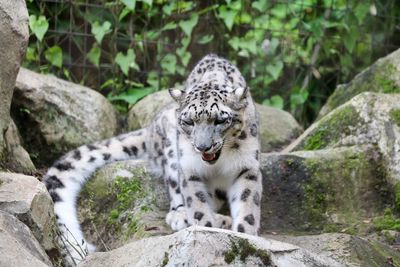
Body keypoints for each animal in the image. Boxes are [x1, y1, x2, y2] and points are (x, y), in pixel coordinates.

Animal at [43, 54, 262, 266]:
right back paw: (185, 216)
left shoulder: (247, 166)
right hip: (171, 151)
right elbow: (197, 204)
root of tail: (150, 129)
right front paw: (207, 229)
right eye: (189, 121)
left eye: (220, 120)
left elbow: (248, 203)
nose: (202, 146)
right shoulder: (189, 168)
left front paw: (244, 235)